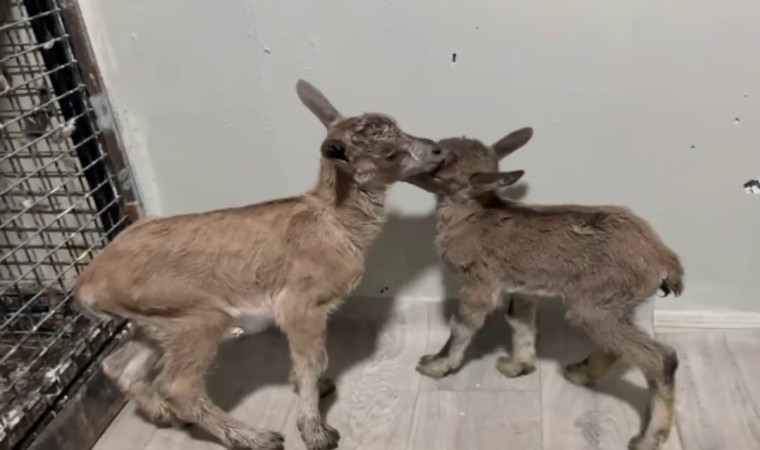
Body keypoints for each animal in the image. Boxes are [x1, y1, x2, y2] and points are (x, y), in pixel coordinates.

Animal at [73, 79, 444, 450]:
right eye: (389, 153)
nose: (437, 150)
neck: (338, 222)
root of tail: (87, 286)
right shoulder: (300, 302)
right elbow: (312, 361)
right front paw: (316, 432)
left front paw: (318, 391)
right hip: (195, 314)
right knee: (177, 385)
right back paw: (255, 437)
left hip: (154, 321)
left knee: (119, 365)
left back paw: (163, 415)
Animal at [406, 127, 684, 450]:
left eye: (441, 166)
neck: (473, 217)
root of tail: (665, 262)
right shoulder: (523, 288)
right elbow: (520, 321)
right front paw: (518, 366)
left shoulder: (480, 282)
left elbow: (463, 325)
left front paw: (434, 365)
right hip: (621, 306)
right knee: (621, 347)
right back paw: (580, 372)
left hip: (597, 305)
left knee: (661, 358)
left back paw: (648, 437)